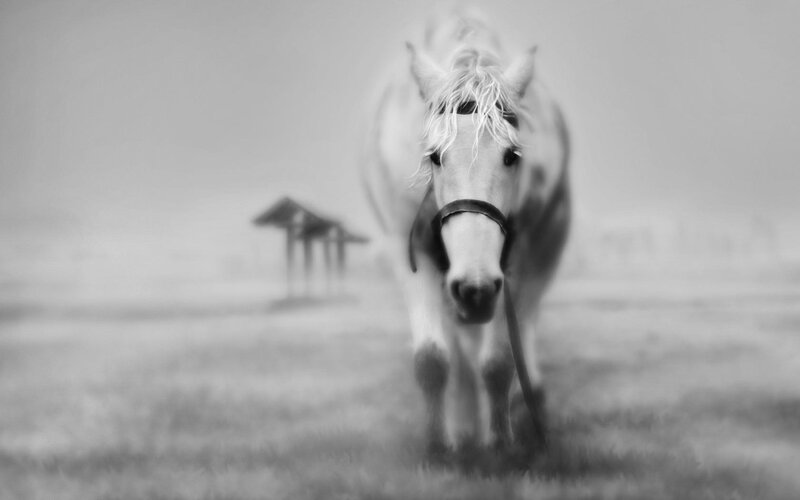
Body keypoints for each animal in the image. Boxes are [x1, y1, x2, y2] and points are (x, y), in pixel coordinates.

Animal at [360, 13, 571, 460]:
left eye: (512, 155)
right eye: (434, 156)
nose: (475, 289)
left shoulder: (518, 257)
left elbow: (499, 361)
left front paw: (501, 442)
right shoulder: (411, 252)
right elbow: (433, 358)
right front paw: (439, 445)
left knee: (525, 324)